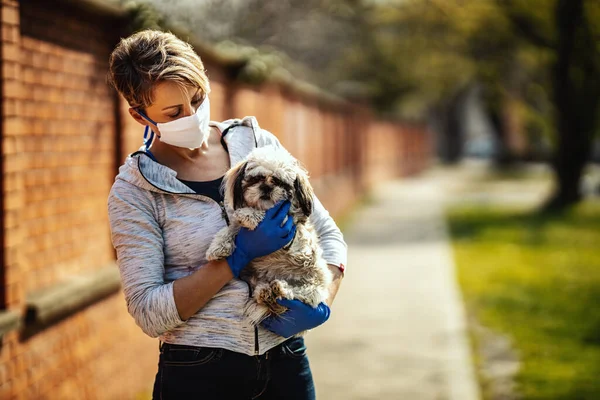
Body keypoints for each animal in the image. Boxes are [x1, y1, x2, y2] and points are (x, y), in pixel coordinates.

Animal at [206, 145, 332, 332]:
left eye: (279, 181)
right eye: (257, 178)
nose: (266, 187)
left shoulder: (287, 226)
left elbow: (260, 216)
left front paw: (248, 214)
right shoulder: (239, 229)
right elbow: (230, 229)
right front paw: (218, 247)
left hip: (314, 285)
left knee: (298, 296)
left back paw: (278, 290)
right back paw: (265, 292)